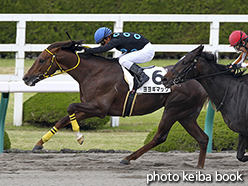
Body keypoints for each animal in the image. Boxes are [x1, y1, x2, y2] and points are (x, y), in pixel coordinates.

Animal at [23, 40, 209, 168]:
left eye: (41, 60)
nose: (26, 78)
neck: (93, 72)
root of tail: (199, 81)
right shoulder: (90, 107)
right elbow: (64, 118)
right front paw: (40, 143)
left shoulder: (99, 108)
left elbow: (70, 107)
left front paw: (80, 137)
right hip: (186, 114)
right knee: (203, 138)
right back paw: (199, 166)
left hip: (173, 109)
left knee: (160, 137)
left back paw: (127, 158)